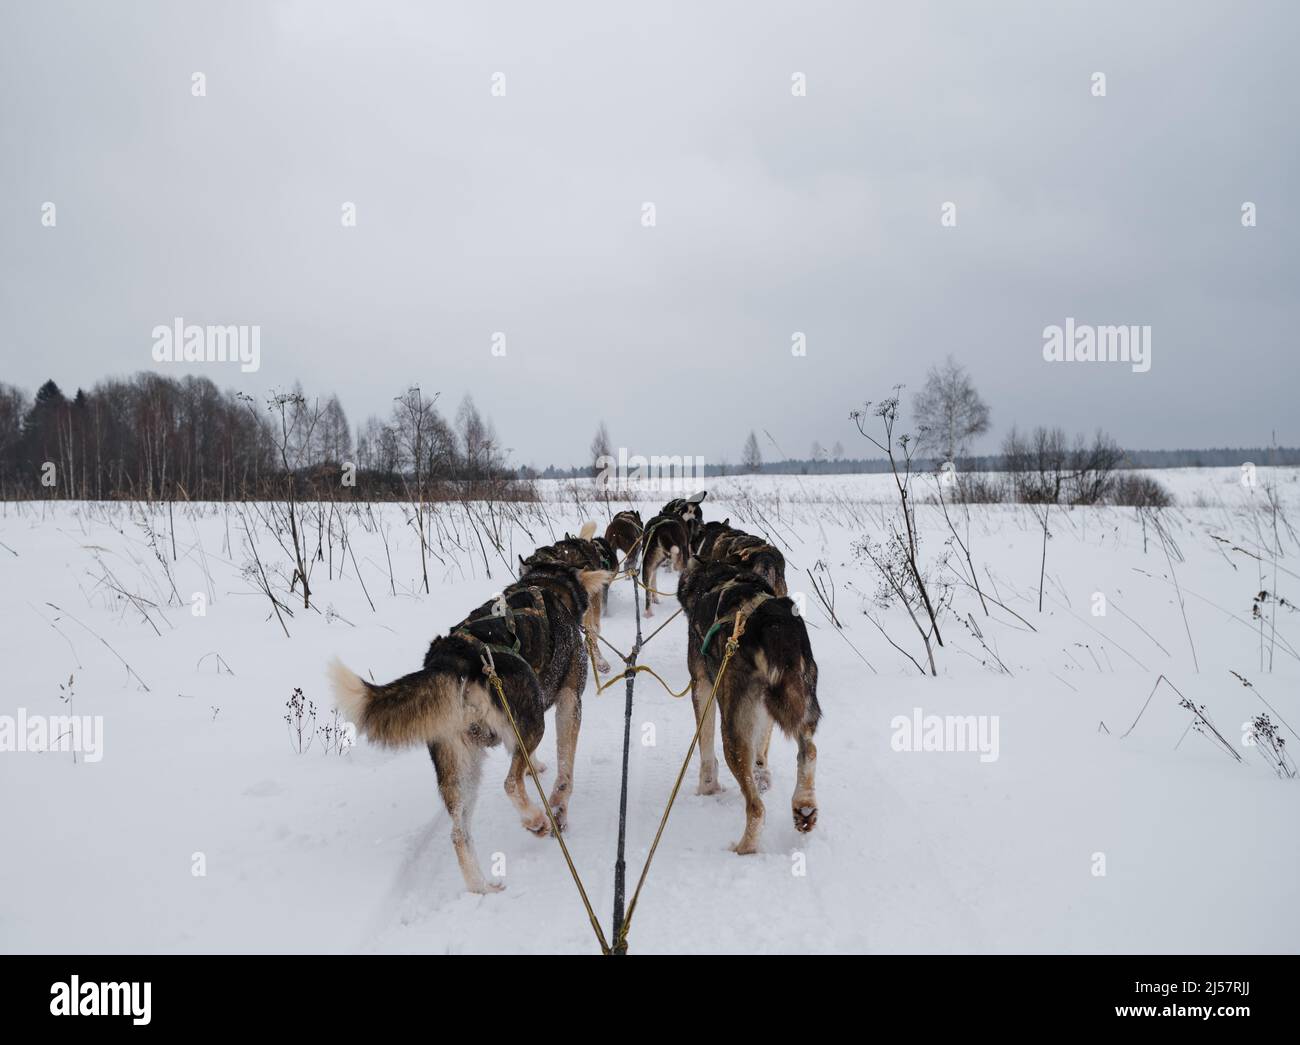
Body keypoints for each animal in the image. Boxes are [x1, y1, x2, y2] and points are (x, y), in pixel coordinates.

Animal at [330, 556, 590, 889]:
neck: (545, 582)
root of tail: (452, 657)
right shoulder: (570, 702)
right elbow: (565, 771)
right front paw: (559, 804)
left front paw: (538, 769)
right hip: (530, 726)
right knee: (510, 783)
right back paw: (536, 820)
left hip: (459, 764)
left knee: (458, 832)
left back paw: (482, 889)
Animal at [676, 558, 816, 852]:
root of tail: (773, 624)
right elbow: (762, 748)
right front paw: (762, 775)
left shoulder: (702, 685)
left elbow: (705, 747)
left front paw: (707, 788)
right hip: (799, 701)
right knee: (808, 751)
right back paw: (805, 805)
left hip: (733, 727)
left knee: (756, 808)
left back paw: (744, 848)